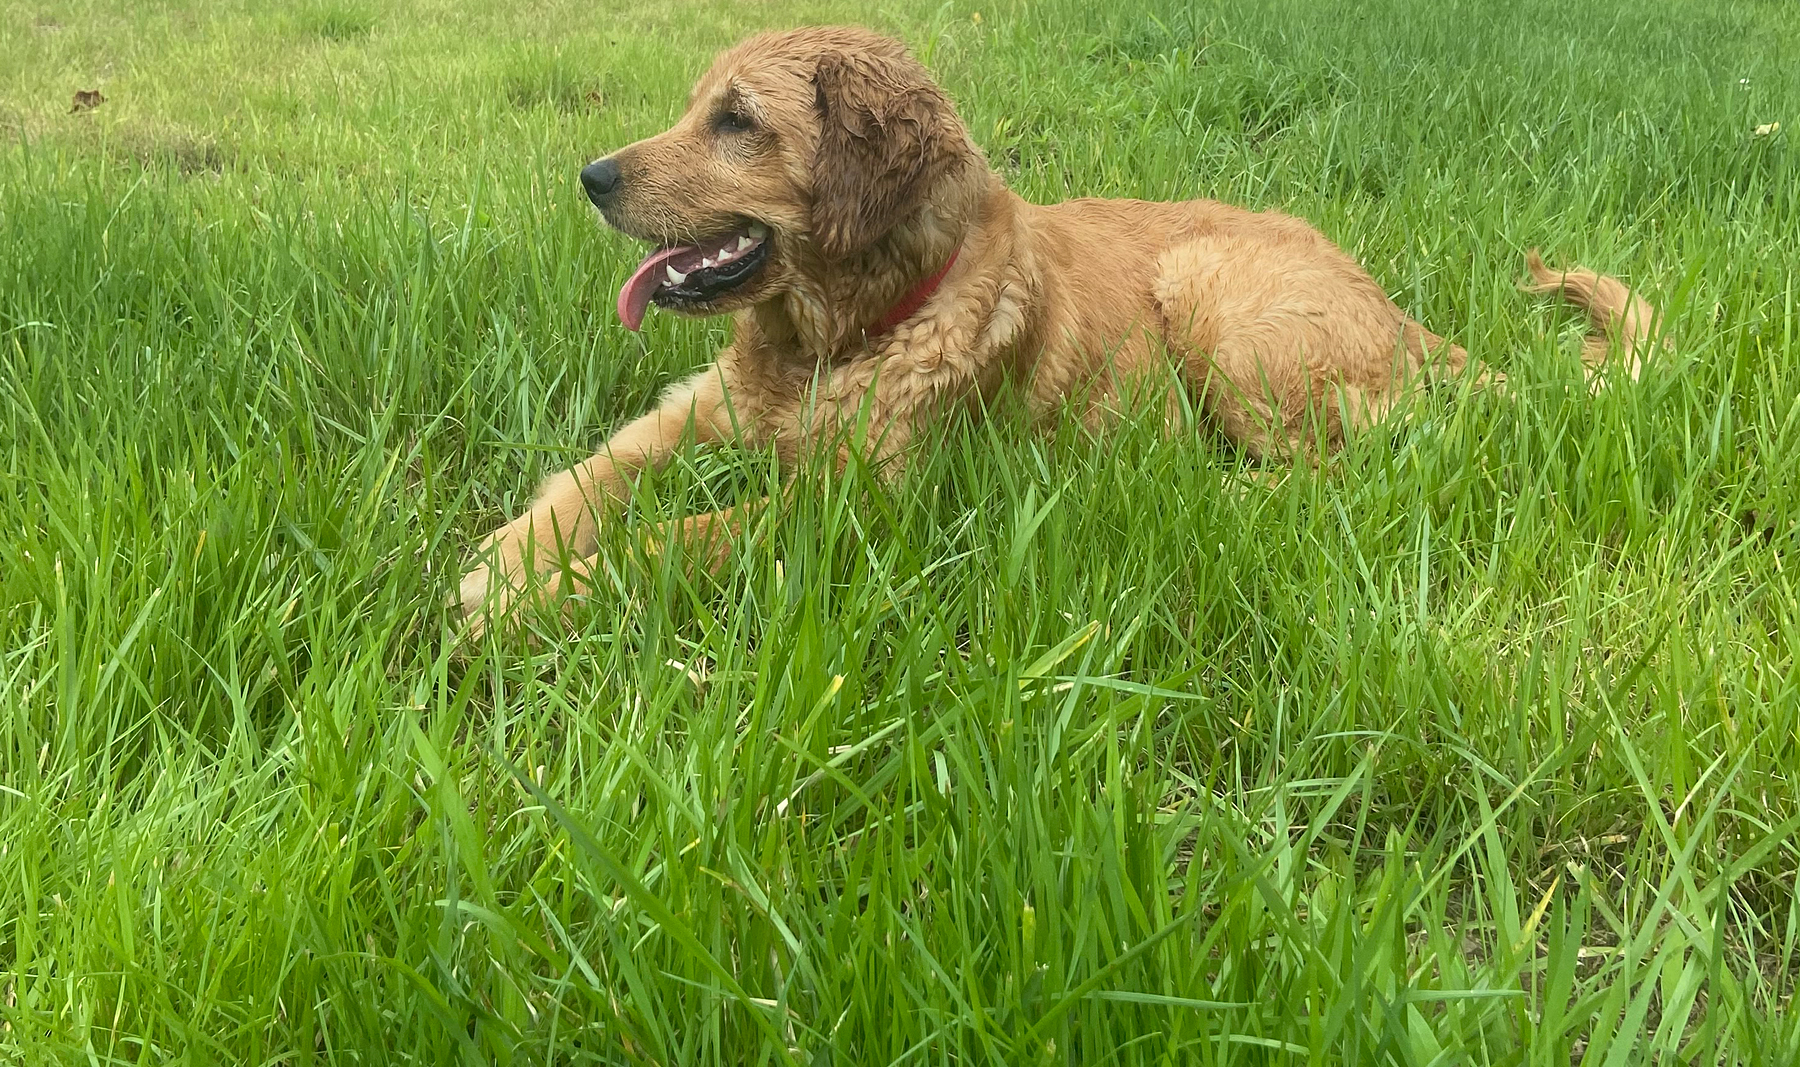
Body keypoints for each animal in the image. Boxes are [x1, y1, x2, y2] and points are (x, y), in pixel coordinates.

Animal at [457, 24, 1663, 629]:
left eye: (738, 121)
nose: (592, 178)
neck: (835, 338)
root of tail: (1403, 315)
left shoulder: (858, 509)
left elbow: (681, 537)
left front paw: (535, 598)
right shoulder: (697, 408)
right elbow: (594, 475)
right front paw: (511, 555)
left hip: (1213, 297)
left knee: (1335, 471)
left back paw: (1184, 495)